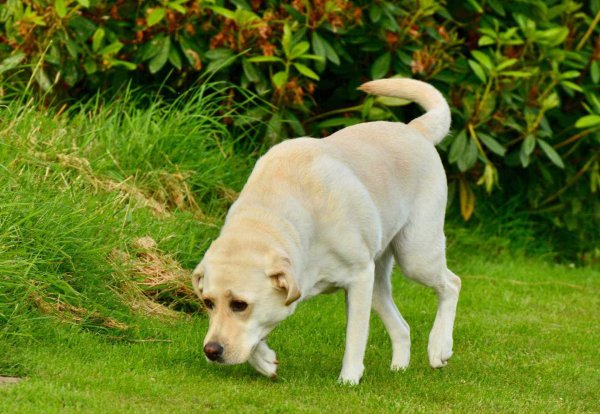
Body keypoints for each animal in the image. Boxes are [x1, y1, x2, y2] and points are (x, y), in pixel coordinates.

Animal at [190, 77, 462, 384]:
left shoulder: (359, 278)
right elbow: (259, 332)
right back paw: (399, 368)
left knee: (452, 284)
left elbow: (355, 336)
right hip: (378, 282)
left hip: (415, 256)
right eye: (208, 302)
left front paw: (349, 379)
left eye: (239, 304)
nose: (211, 350)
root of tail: (415, 129)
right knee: (402, 327)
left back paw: (439, 347)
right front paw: (264, 361)